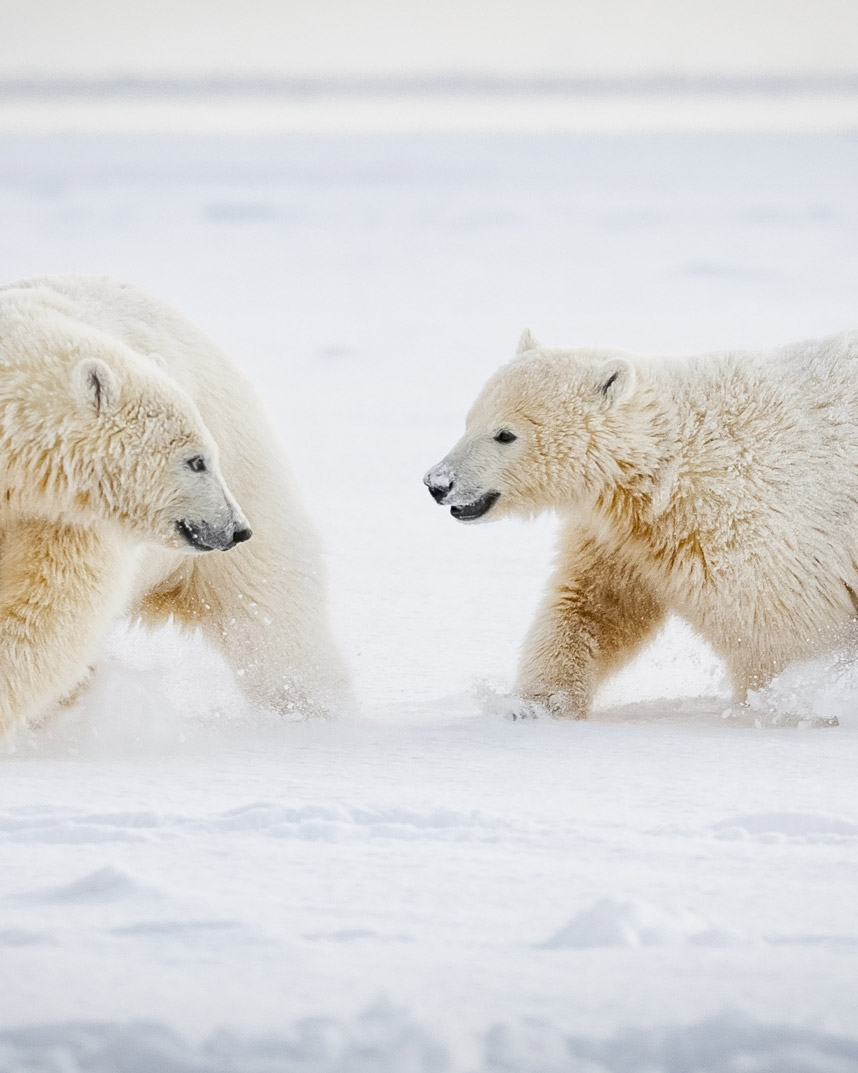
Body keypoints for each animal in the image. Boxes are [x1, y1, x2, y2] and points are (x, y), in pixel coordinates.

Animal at [0, 274, 348, 738]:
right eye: (195, 461)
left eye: (206, 457)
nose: (236, 529)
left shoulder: (66, 514)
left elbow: (48, 608)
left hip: (250, 478)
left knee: (273, 615)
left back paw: (314, 712)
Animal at [424, 327, 858, 720]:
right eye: (469, 419)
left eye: (505, 434)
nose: (437, 483)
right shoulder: (617, 535)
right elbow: (593, 607)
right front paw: (535, 705)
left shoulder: (749, 525)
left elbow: (780, 631)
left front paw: (784, 702)